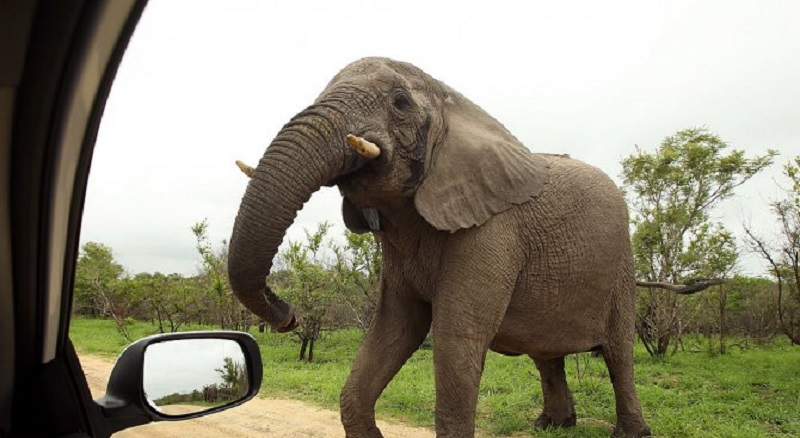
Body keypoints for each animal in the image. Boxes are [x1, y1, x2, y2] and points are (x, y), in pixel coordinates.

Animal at [228, 56, 652, 436]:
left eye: (400, 102)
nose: (289, 316)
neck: (454, 101)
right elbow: (396, 327)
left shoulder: (492, 231)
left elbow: (456, 337)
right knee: (546, 354)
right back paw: (551, 424)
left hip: (621, 267)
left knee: (619, 353)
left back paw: (630, 432)